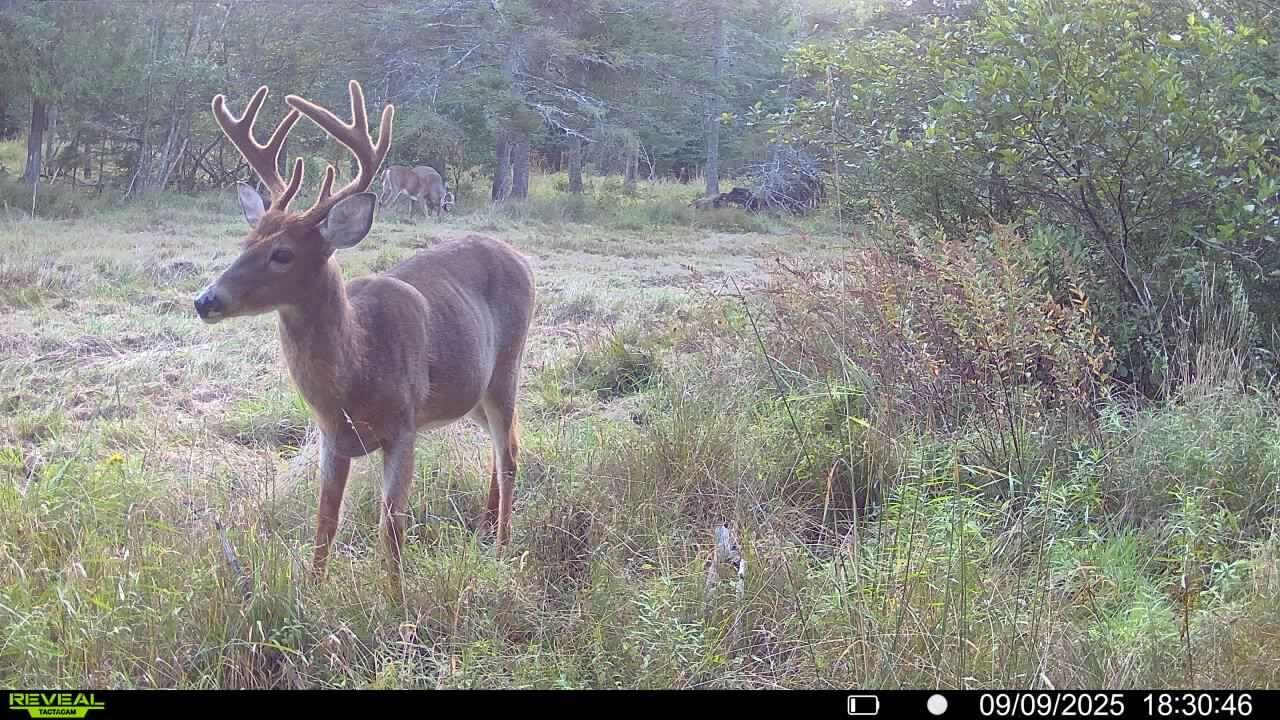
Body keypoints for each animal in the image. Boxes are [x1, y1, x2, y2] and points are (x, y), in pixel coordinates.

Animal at [192, 80, 535, 587]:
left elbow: (390, 527)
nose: (205, 300)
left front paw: (395, 596)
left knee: (509, 453)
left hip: (507, 367)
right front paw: (313, 589)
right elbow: (324, 521)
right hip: (469, 390)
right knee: (505, 444)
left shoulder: (405, 425)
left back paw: (502, 547)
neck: (358, 370)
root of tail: (518, 256)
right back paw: (486, 528)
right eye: (246, 242)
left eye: (282, 253)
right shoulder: (331, 438)